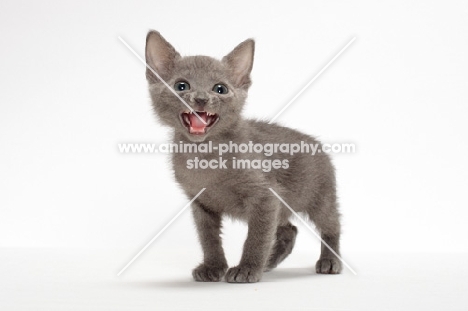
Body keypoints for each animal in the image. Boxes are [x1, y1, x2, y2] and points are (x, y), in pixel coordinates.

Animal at [144, 31, 342, 282]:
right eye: (181, 86)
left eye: (220, 89)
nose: (201, 98)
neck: (204, 154)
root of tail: (316, 143)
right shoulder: (200, 202)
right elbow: (208, 238)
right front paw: (213, 267)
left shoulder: (265, 196)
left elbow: (256, 236)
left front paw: (247, 268)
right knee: (288, 229)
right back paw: (270, 261)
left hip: (321, 197)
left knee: (331, 225)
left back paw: (330, 261)